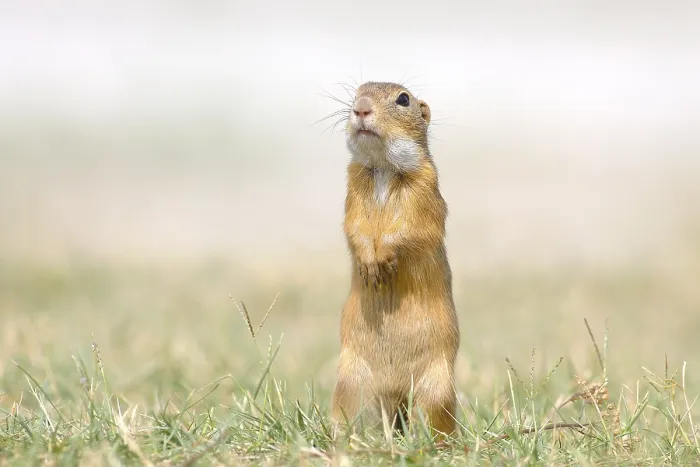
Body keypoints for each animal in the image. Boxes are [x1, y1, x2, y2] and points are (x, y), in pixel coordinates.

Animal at [330, 81, 460, 439]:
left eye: (403, 99)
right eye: (357, 92)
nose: (360, 108)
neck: (385, 168)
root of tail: (395, 392)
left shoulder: (425, 189)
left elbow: (412, 229)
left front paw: (383, 260)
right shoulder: (353, 184)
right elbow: (354, 226)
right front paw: (368, 263)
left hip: (437, 387)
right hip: (351, 384)